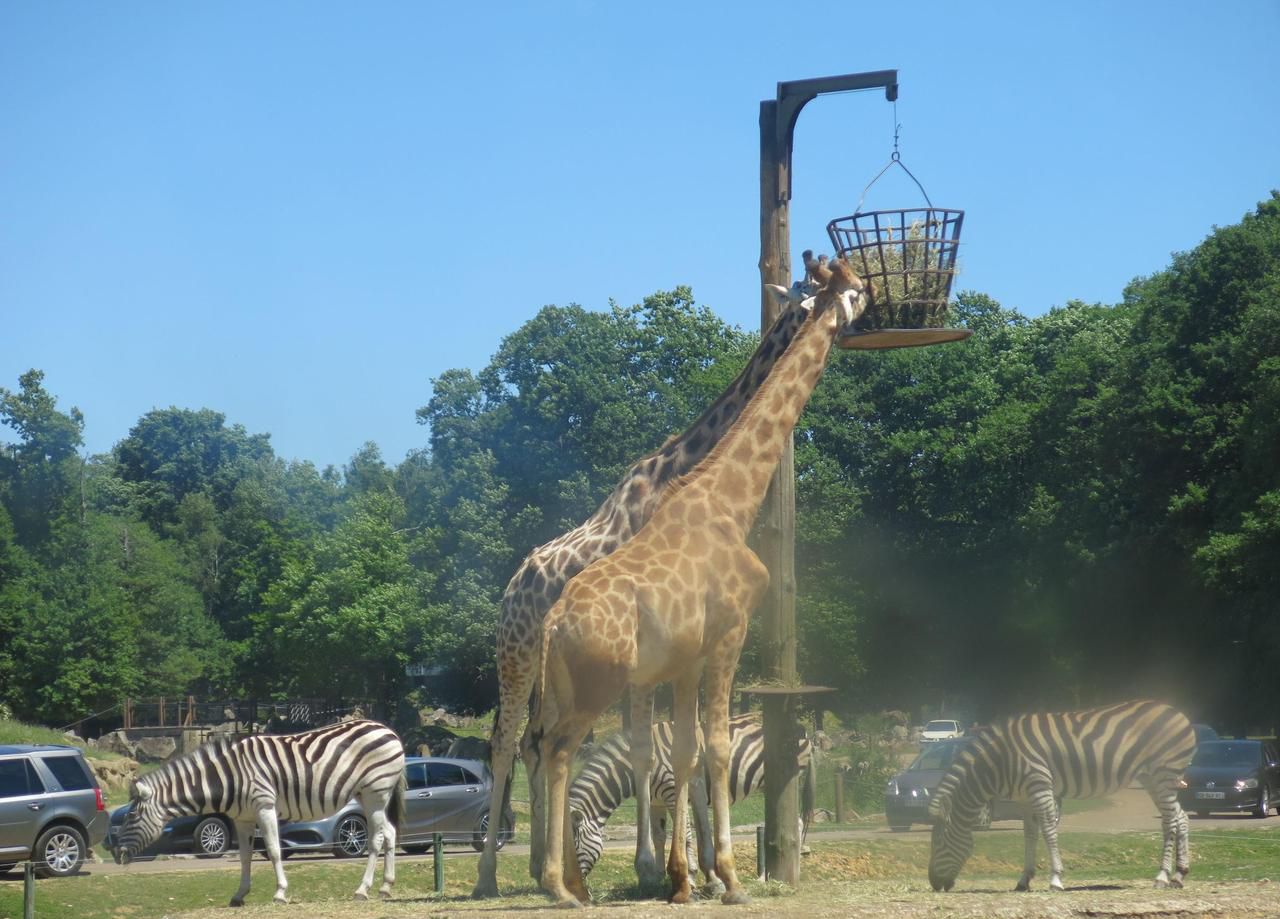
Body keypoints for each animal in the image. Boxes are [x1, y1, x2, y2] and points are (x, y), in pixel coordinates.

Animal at [114, 721, 407, 906]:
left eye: (132, 817)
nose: (117, 855)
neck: (228, 777)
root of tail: (388, 730)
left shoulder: (264, 806)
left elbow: (274, 850)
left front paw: (280, 893)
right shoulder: (242, 818)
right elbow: (245, 856)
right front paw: (239, 895)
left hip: (376, 792)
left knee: (376, 839)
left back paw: (363, 890)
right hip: (369, 796)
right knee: (391, 834)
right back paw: (386, 886)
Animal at [573, 716, 814, 890]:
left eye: (574, 846)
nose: (576, 887)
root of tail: (802, 728)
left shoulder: (672, 792)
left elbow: (685, 836)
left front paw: (689, 877)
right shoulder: (656, 801)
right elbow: (659, 837)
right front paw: (657, 877)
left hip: (786, 781)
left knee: (796, 823)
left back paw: (775, 876)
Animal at [926, 701, 1192, 895]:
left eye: (938, 844)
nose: (934, 884)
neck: (1000, 762)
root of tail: (1179, 714)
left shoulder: (1040, 787)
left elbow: (1048, 832)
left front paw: (1055, 880)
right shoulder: (1025, 799)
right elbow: (1030, 835)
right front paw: (1024, 880)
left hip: (1163, 774)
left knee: (1170, 821)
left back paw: (1161, 877)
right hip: (1153, 779)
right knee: (1181, 816)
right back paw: (1179, 875)